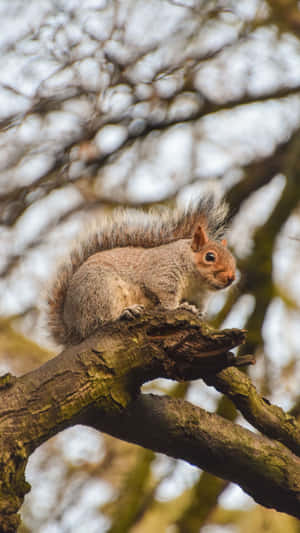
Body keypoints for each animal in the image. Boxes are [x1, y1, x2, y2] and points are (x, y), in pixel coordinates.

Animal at [47, 195, 234, 344]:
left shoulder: (198, 296)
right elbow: (165, 297)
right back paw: (124, 313)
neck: (195, 283)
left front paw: (192, 309)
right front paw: (178, 307)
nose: (231, 278)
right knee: (96, 323)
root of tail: (72, 326)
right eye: (210, 256)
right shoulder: (163, 272)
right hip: (99, 291)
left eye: (233, 259)